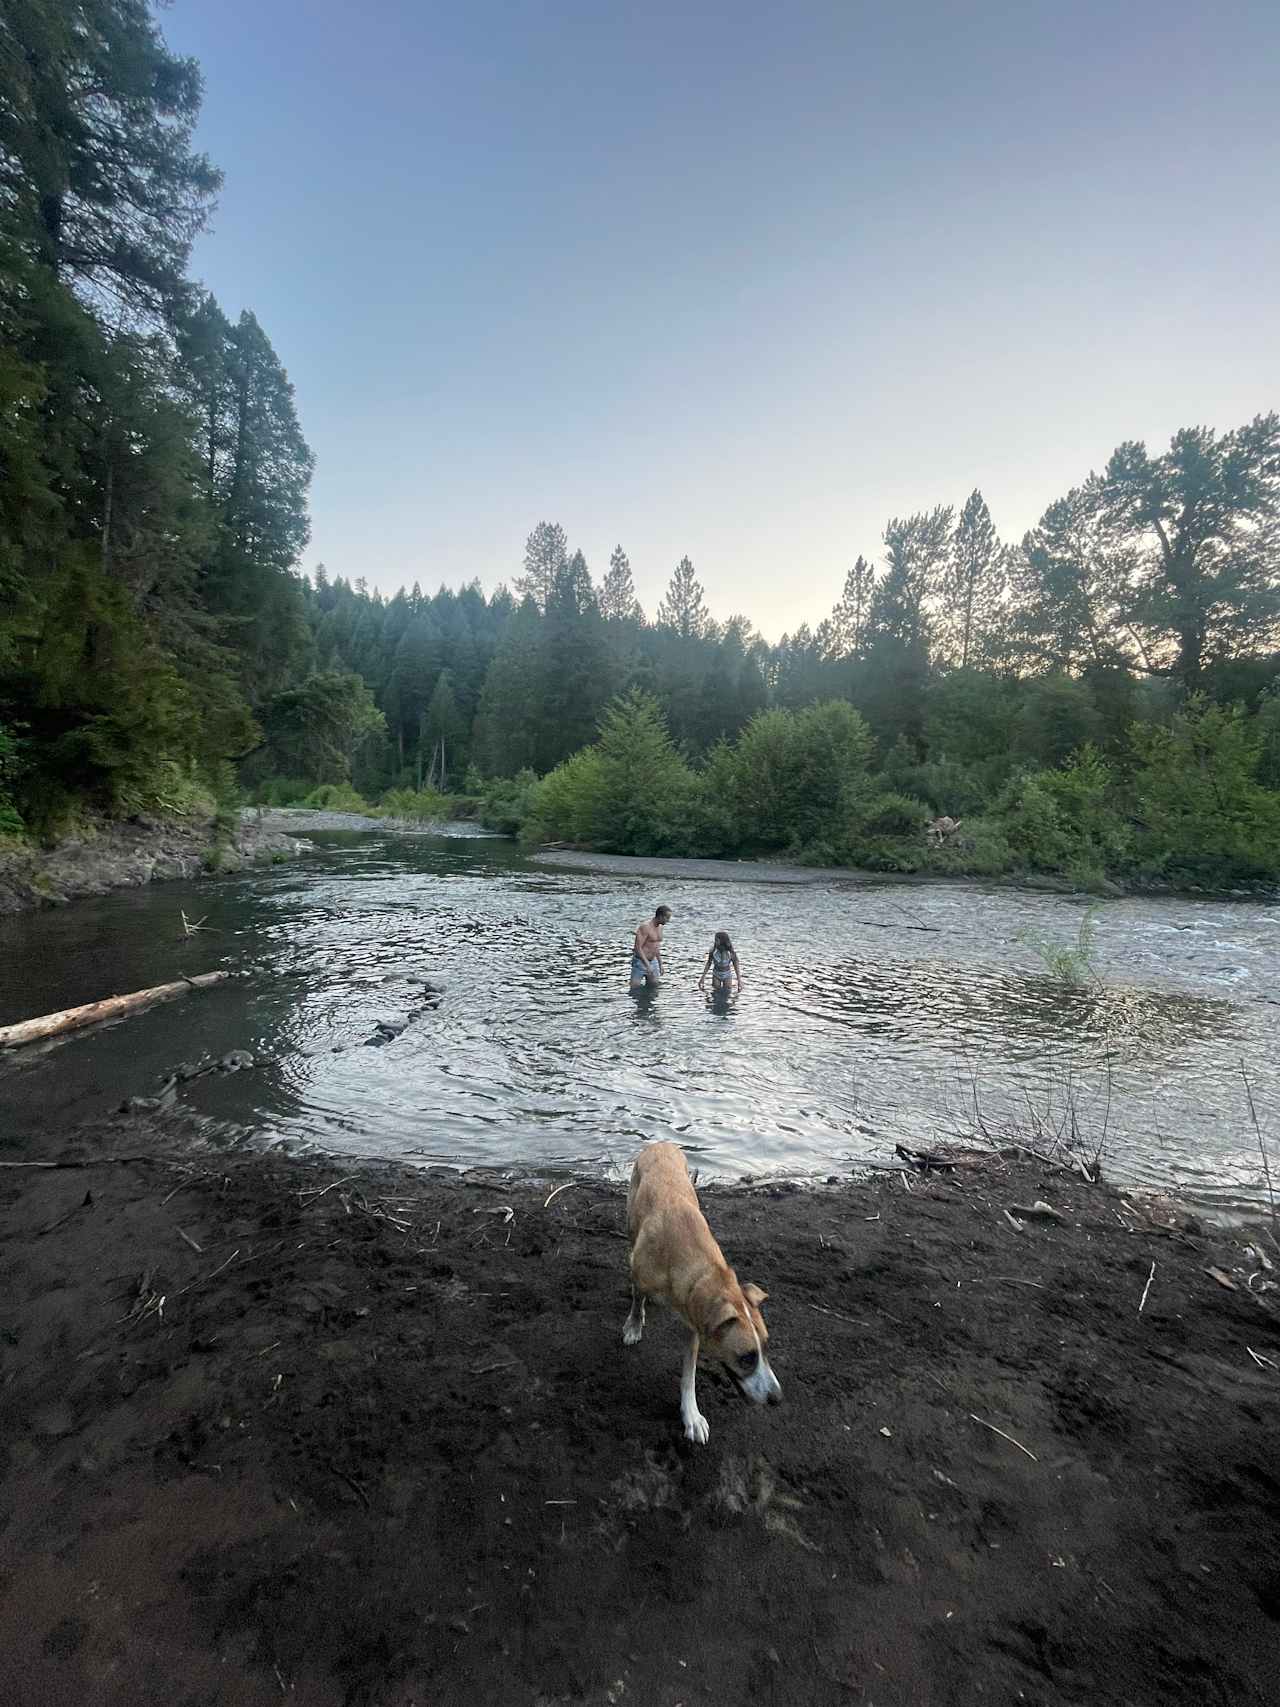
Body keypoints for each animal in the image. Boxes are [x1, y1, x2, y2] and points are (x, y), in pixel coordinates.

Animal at [624, 1147, 781, 1440]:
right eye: (747, 1358)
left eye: (766, 1348)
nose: (777, 1398)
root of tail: (662, 1143)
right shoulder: (639, 1271)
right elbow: (637, 1296)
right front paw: (634, 1324)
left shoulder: (694, 1321)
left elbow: (689, 1374)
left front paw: (691, 1415)